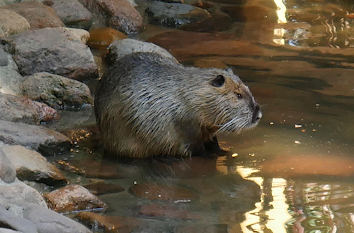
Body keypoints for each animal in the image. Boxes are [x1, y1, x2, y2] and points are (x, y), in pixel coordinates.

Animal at [94, 50, 260, 157]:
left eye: (247, 89)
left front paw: (224, 150)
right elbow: (194, 146)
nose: (257, 114)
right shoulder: (184, 122)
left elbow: (212, 140)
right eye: (238, 95)